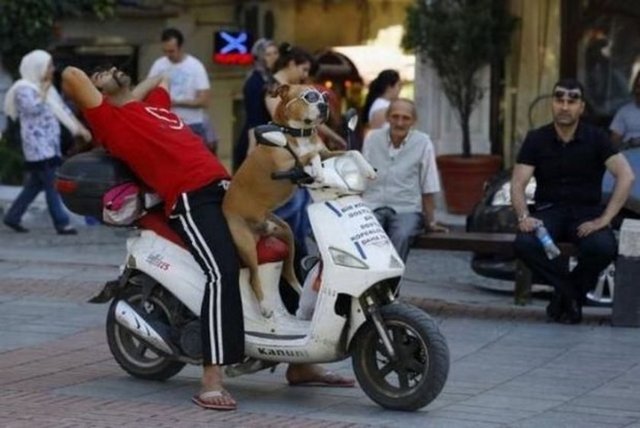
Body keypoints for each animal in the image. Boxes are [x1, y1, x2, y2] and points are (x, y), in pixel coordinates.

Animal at [224, 84, 378, 318]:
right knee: (253, 276)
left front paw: (367, 168)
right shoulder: (288, 168)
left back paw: (300, 295)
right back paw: (265, 306)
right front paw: (319, 173)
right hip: (246, 244)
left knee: (288, 272)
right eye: (309, 97)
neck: (300, 133)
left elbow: (351, 151)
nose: (323, 105)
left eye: (323, 97)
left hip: (284, 233)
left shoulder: (327, 152)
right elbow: (309, 157)